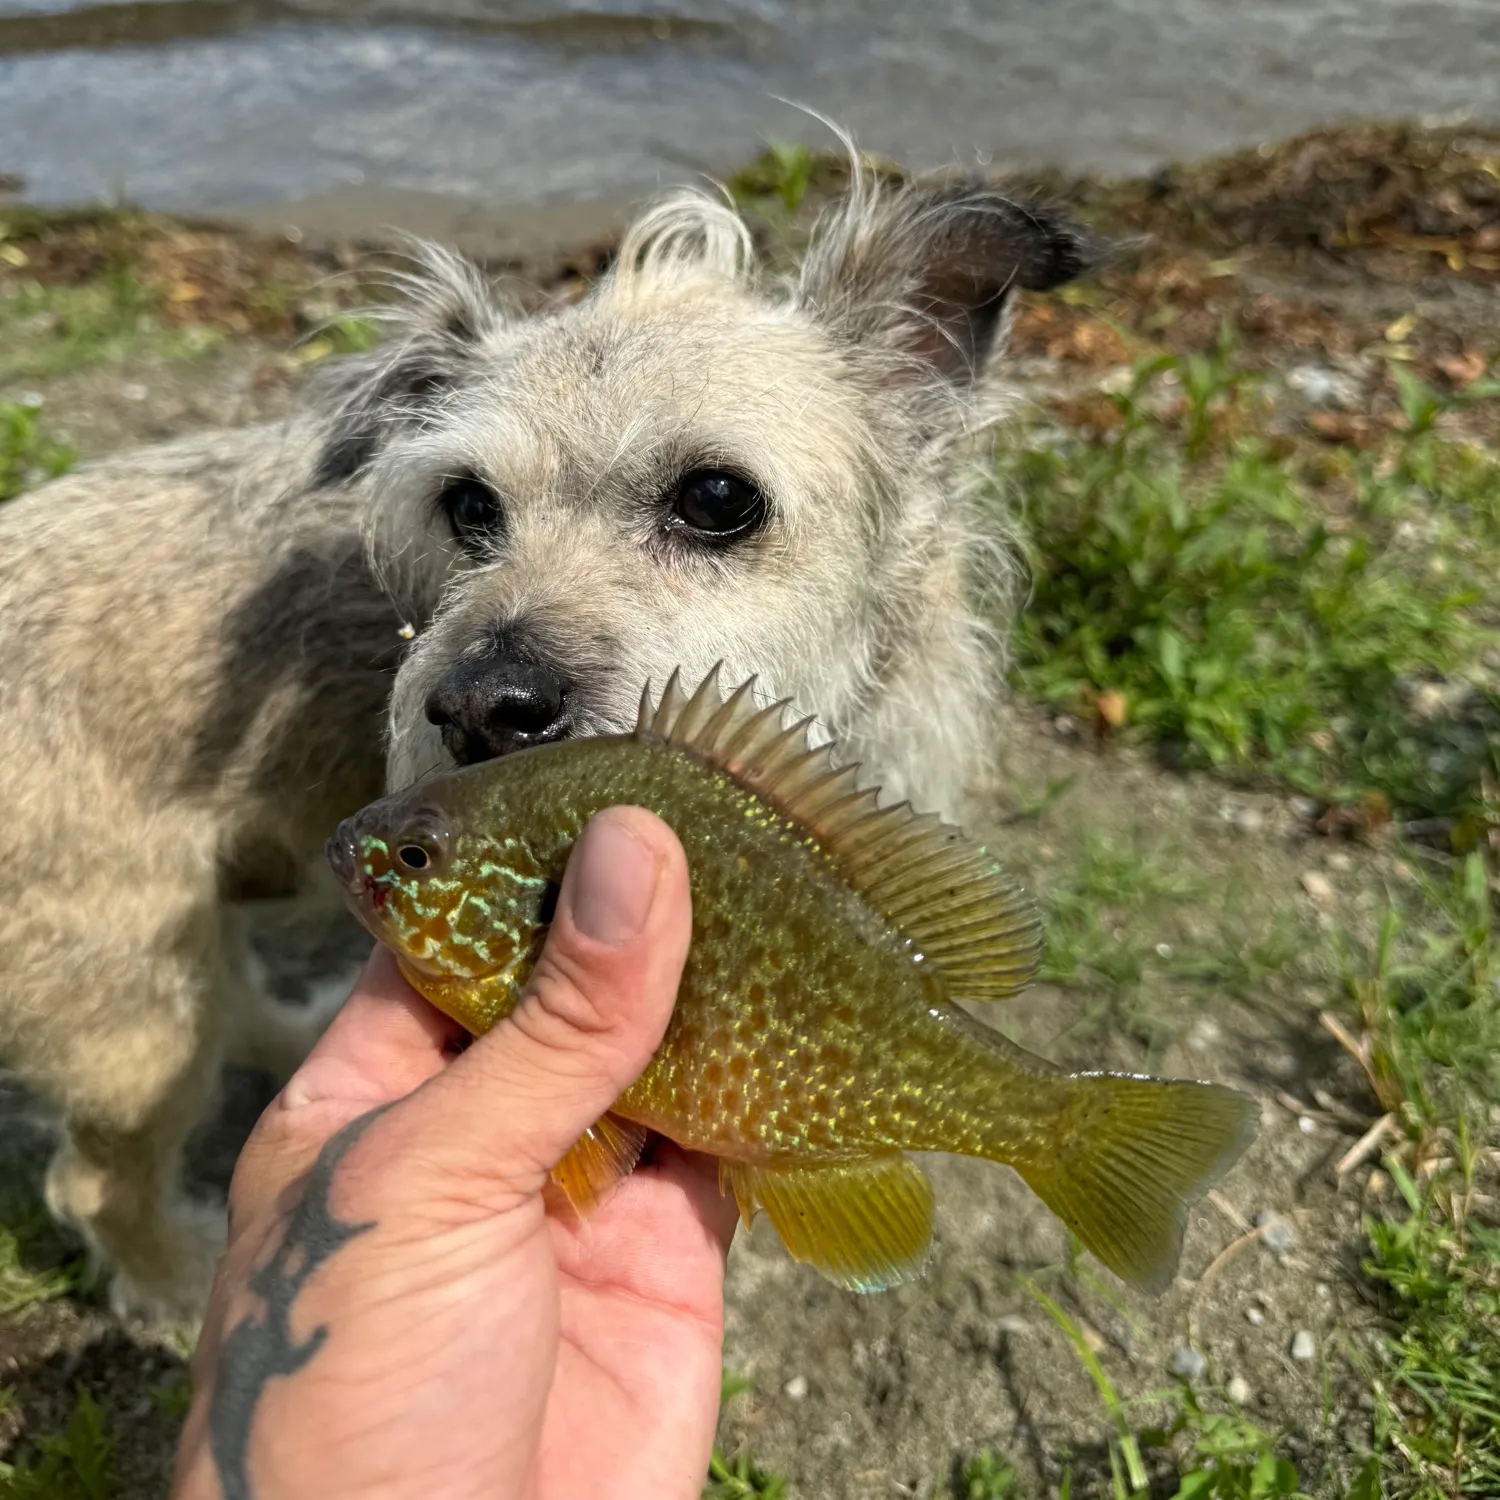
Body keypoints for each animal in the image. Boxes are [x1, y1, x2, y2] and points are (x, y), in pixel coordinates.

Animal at [0, 155, 1104, 1326]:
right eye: (468, 505)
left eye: (718, 496)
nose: (482, 706)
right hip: (128, 1019)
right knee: (95, 1177)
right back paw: (182, 1279)